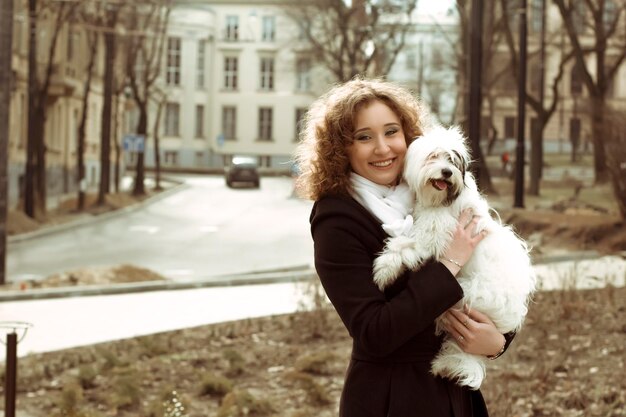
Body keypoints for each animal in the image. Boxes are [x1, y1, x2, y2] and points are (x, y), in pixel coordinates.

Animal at [370, 125, 536, 388]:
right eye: (433, 156)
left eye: (452, 160)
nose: (447, 172)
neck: (441, 202)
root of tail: (509, 317)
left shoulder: (434, 232)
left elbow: (405, 244)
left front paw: (385, 268)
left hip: (468, 297)